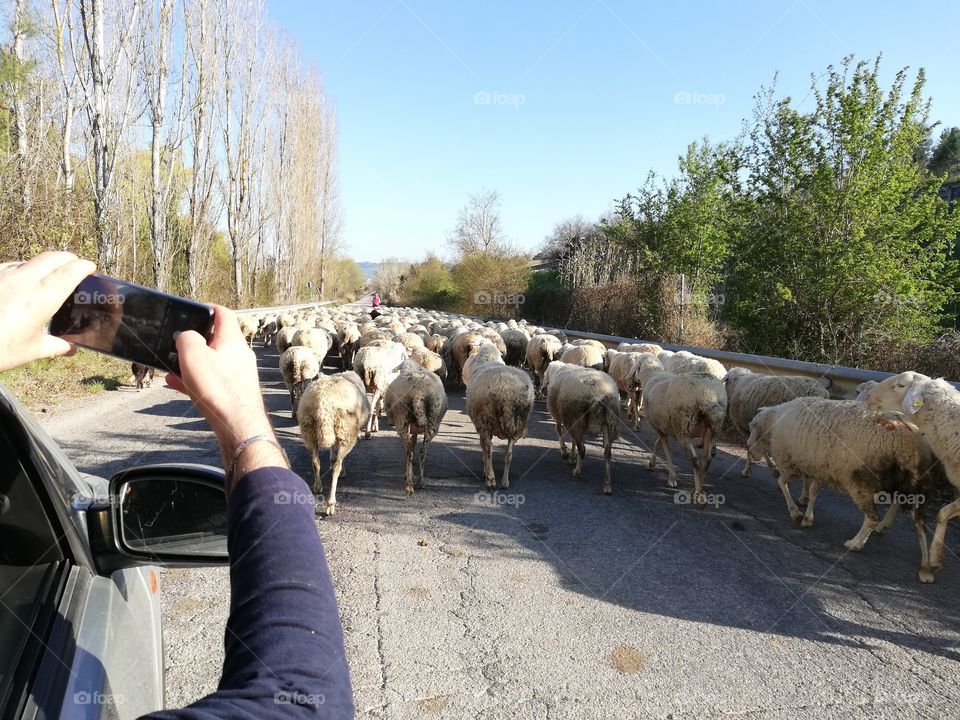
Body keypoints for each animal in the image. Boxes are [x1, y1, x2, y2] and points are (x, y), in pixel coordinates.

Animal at [294, 372, 370, 516]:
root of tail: (323, 402)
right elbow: (336, 458)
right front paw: (343, 472)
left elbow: (332, 455)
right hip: (345, 430)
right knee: (336, 466)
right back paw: (330, 503)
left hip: (310, 430)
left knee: (315, 461)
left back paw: (318, 486)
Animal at [380, 362, 448, 498]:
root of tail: (418, 392)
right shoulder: (415, 430)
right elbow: (415, 441)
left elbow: (413, 443)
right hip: (432, 420)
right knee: (422, 451)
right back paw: (420, 482)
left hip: (402, 420)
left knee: (409, 451)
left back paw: (409, 485)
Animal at [640, 362, 724, 504]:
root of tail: (708, 396)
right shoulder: (665, 428)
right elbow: (659, 444)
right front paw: (651, 464)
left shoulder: (660, 429)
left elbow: (665, 449)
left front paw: (672, 478)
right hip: (711, 430)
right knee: (707, 459)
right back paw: (696, 490)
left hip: (683, 428)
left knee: (695, 459)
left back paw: (698, 493)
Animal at [752, 390, 936, 584]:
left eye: (753, 428)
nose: (752, 453)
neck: (775, 422)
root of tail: (910, 439)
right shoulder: (819, 466)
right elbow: (814, 492)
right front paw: (808, 517)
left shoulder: (789, 461)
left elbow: (782, 483)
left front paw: (796, 513)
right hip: (916, 484)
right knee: (920, 525)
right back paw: (926, 568)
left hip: (861, 481)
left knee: (872, 518)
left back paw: (855, 544)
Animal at [864, 372, 960, 580]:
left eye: (900, 385)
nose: (869, 396)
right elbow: (943, 513)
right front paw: (936, 558)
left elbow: (942, 513)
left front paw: (933, 557)